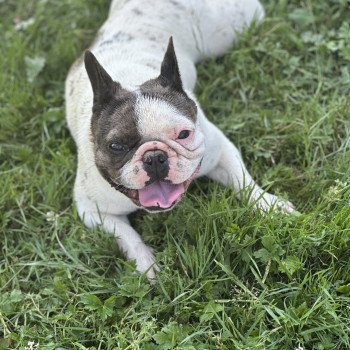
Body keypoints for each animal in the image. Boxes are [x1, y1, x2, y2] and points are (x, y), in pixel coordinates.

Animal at [64, 0, 294, 278]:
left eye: (184, 134)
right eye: (116, 146)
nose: (154, 157)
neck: (132, 79)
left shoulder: (220, 151)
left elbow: (245, 183)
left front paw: (271, 205)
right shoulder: (93, 211)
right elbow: (127, 237)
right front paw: (147, 265)